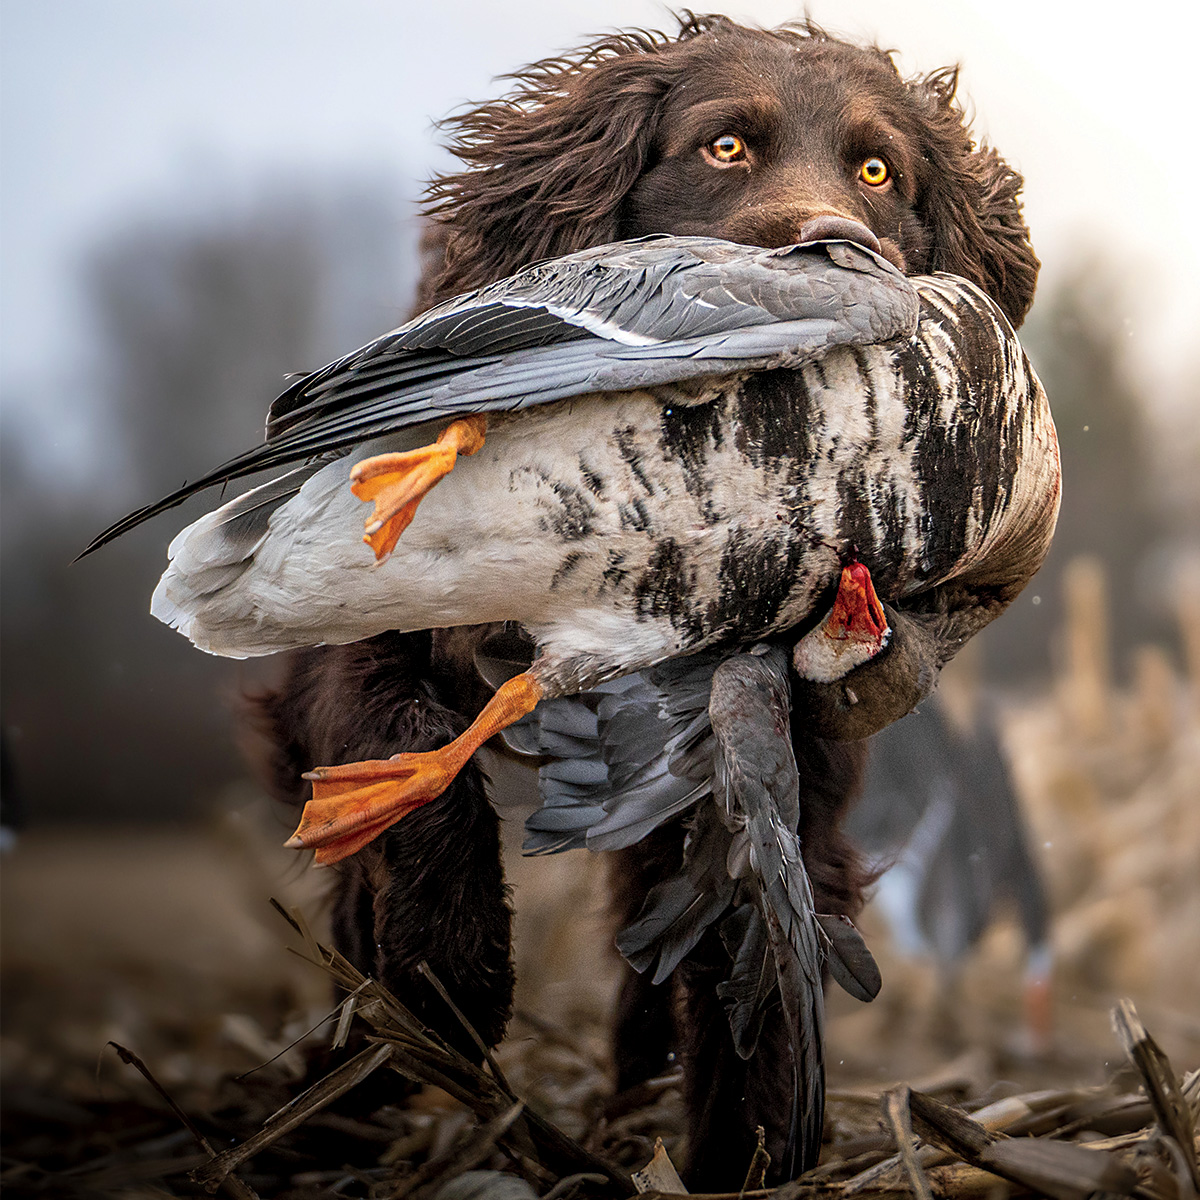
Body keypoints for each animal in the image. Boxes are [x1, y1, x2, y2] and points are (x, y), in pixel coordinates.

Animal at [248, 16, 1036, 1180]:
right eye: (724, 147)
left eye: (879, 170)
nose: (840, 254)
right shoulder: (349, 645)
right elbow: (410, 750)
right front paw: (449, 969)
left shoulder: (779, 748)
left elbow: (751, 931)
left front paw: (744, 1159)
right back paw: (346, 1085)